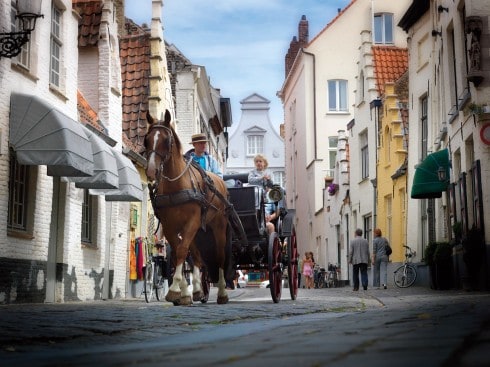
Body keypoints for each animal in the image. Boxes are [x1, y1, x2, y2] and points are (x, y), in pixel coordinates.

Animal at [145, 110, 231, 306]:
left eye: (166, 140)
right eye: (147, 139)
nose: (151, 171)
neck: (176, 185)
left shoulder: (191, 222)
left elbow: (182, 251)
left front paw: (175, 289)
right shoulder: (170, 226)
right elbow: (179, 253)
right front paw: (182, 293)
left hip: (218, 226)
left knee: (220, 257)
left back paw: (222, 293)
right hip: (197, 230)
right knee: (197, 257)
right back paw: (198, 290)